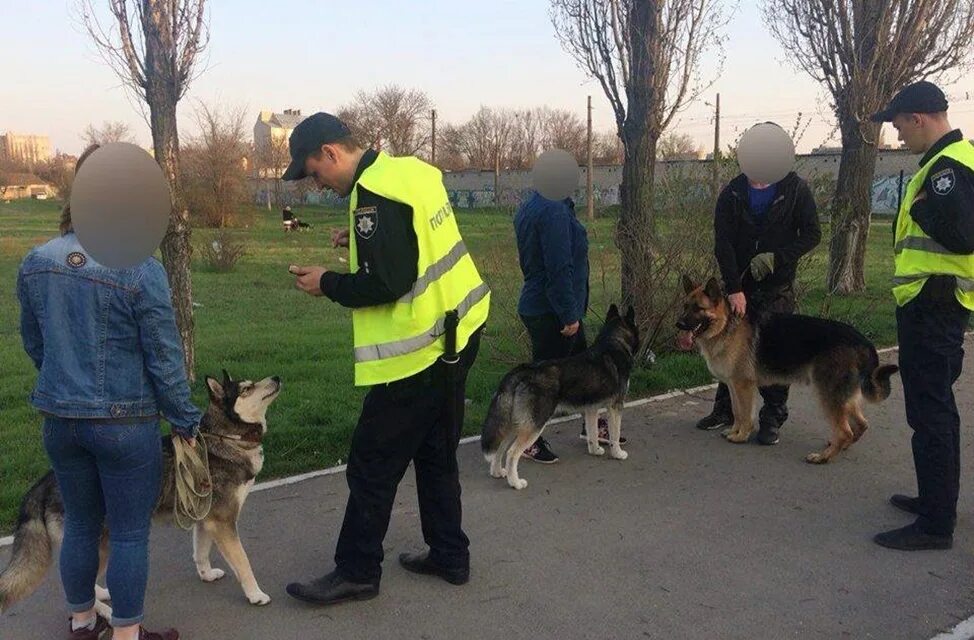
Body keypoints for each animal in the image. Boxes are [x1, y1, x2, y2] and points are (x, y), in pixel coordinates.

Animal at [0, 370, 282, 620]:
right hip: (103, 543)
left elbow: (200, 552)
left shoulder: (205, 520)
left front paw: (207, 574)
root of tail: (43, 483)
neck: (227, 438)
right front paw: (255, 594)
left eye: (251, 383)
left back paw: (100, 595)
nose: (277, 378)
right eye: (246, 388)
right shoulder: (223, 523)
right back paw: (104, 613)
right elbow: (243, 562)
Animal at [480, 304, 640, 490]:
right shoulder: (615, 406)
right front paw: (618, 453)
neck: (614, 343)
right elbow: (615, 434)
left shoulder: (591, 408)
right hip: (534, 424)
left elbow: (592, 433)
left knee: (500, 447)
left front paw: (595, 451)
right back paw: (516, 483)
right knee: (512, 453)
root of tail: (521, 372)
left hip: (515, 423)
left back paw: (497, 472)